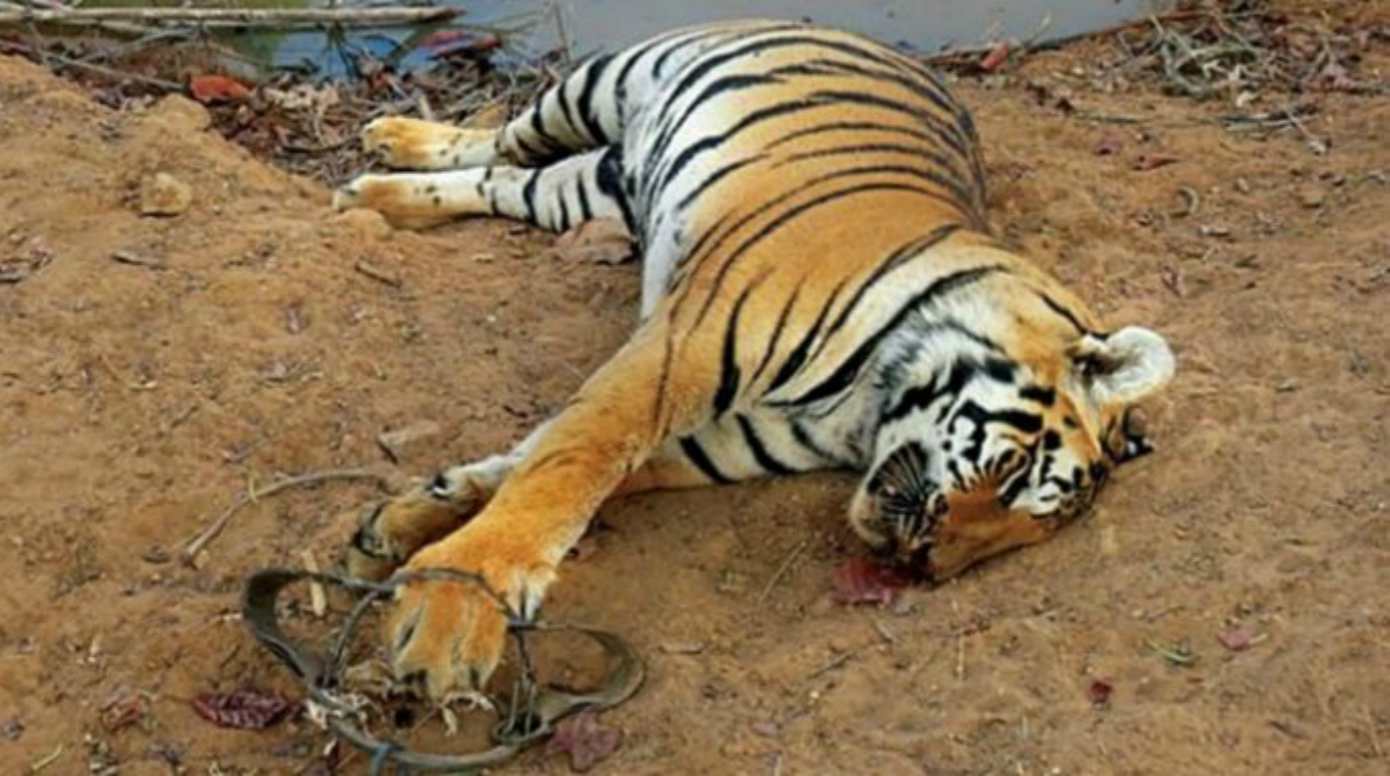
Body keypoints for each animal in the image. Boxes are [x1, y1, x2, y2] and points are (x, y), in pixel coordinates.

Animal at [331, 19, 1175, 701]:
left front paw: (412, 516)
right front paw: (455, 606)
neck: (861, 415)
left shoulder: (720, 442)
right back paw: (387, 147)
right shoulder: (678, 348)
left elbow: (553, 460)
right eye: (1019, 474)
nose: (923, 563)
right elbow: (571, 464)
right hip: (599, 85)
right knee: (498, 138)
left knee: (506, 180)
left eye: (1008, 544)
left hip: (593, 187)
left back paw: (378, 197)